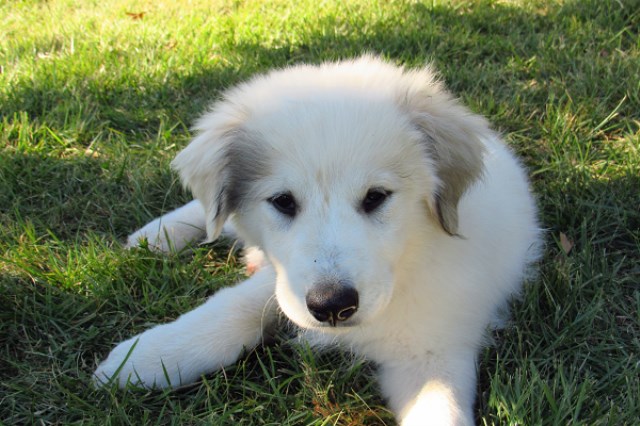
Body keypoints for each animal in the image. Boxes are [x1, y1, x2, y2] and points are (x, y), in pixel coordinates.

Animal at [95, 56, 540, 426]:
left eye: (376, 197)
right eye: (282, 201)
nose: (332, 307)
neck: (411, 259)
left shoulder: (434, 355)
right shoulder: (285, 282)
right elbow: (235, 307)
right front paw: (148, 357)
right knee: (214, 220)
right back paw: (155, 235)